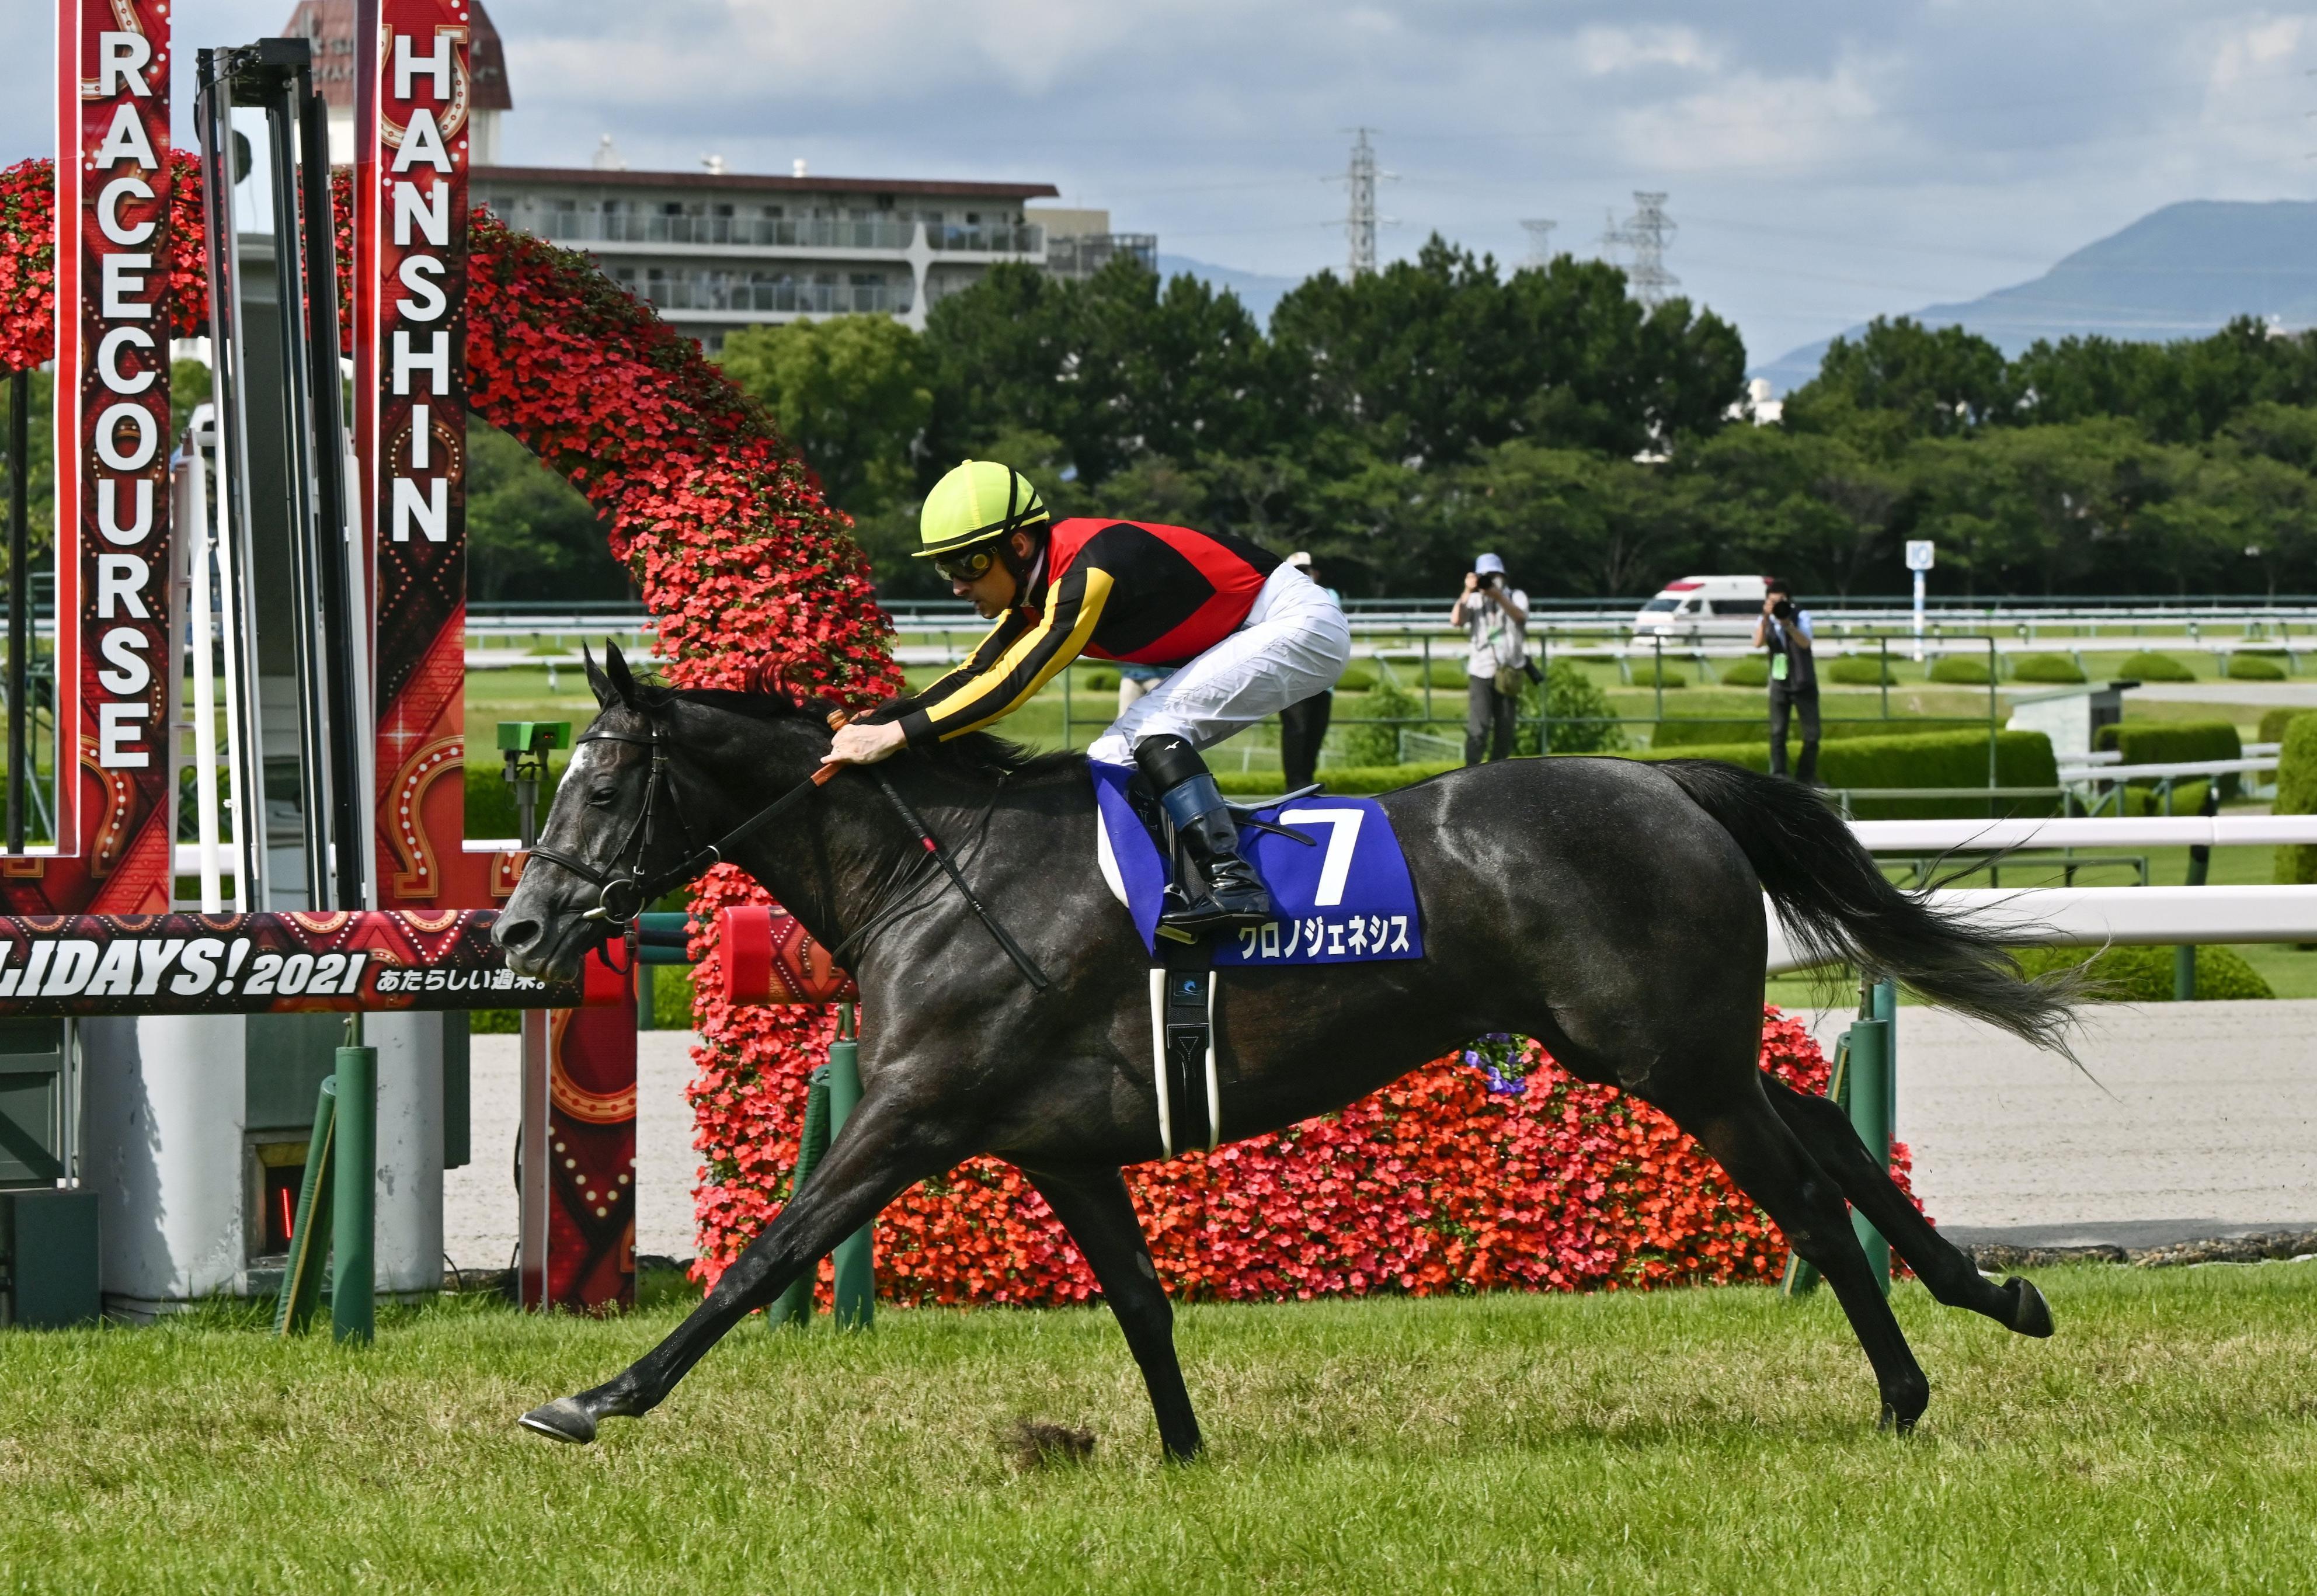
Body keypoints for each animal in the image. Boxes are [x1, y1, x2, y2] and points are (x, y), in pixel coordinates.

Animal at [498, 639, 2076, 1455]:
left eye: (604, 785)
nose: (519, 924)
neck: (928, 872)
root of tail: (1669, 782)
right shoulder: (1056, 1141)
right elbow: (1140, 1299)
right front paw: (1186, 1454)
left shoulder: (913, 1115)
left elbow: (765, 1253)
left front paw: (594, 1398)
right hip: (1661, 1048)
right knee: (1829, 1134)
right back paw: (1994, 1295)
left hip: (1665, 1058)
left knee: (1802, 1189)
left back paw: (1902, 1392)